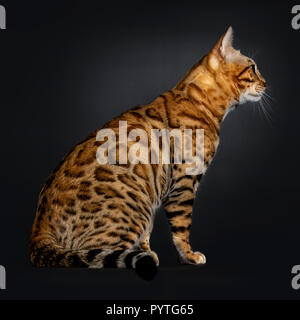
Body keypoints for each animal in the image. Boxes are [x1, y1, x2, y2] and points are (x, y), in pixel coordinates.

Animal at [29, 26, 266, 278]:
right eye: (253, 67)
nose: (266, 83)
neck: (200, 103)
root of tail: (38, 228)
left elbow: (148, 234)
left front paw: (146, 250)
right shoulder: (183, 183)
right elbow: (182, 228)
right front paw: (189, 256)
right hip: (132, 207)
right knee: (95, 254)